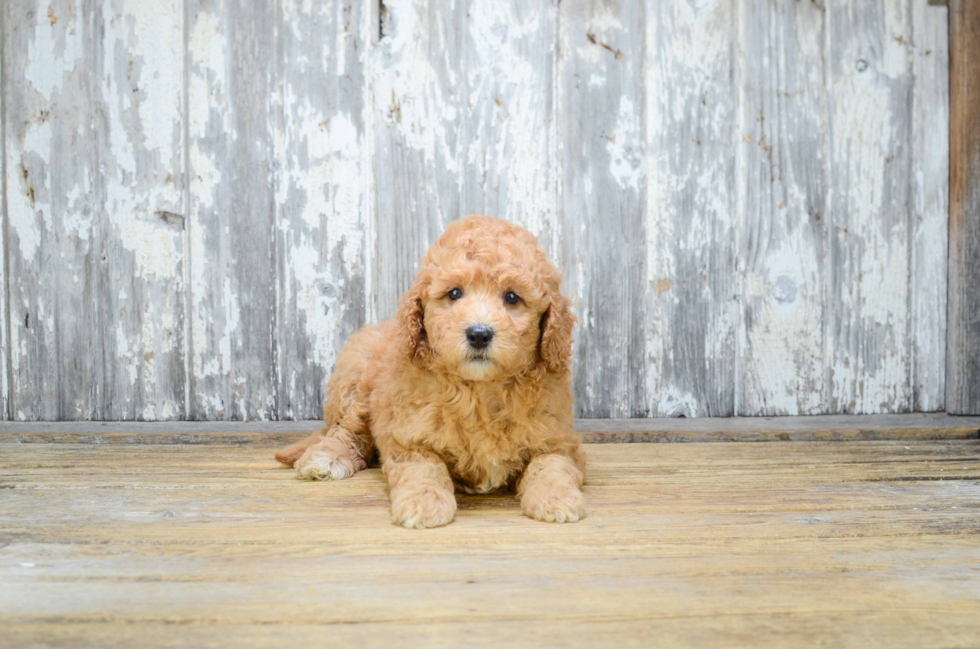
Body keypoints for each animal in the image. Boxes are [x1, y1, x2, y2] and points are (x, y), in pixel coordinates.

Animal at [272, 215, 584, 528]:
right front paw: (423, 502)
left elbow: (551, 464)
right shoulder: (408, 437)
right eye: (454, 293)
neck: (479, 391)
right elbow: (423, 467)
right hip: (355, 377)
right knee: (347, 431)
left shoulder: (559, 439)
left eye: (512, 297)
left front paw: (556, 496)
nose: (479, 334)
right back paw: (325, 459)